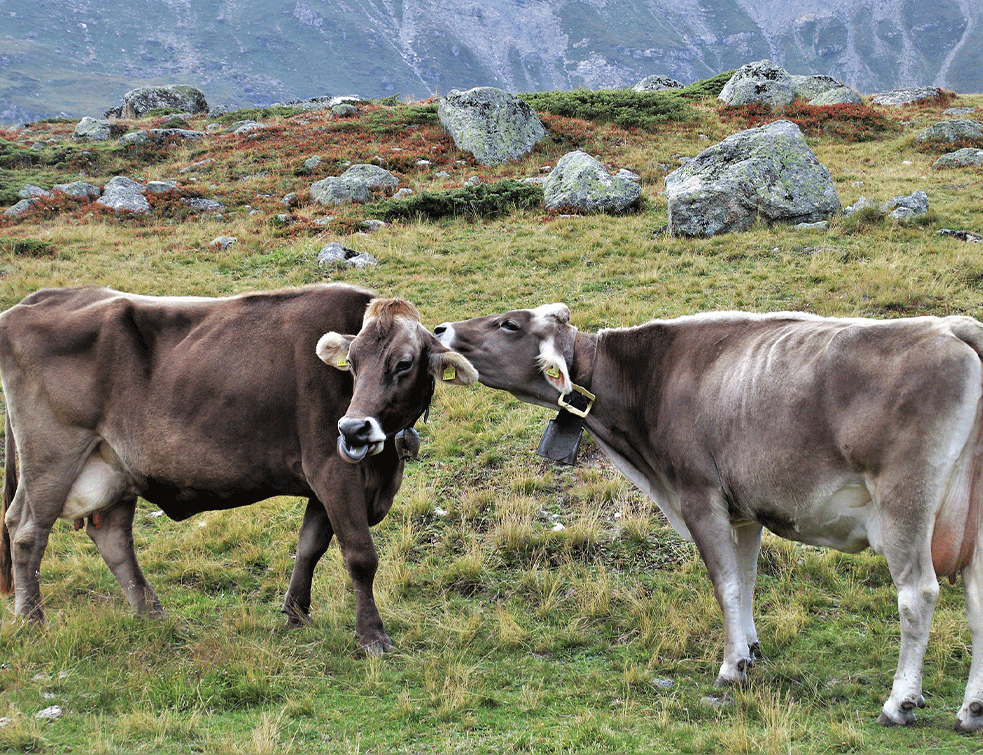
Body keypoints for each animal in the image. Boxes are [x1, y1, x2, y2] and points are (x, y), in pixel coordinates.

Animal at [0, 286, 476, 652]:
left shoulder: (325, 482)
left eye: (404, 363)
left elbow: (310, 545)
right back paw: (32, 621)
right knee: (26, 530)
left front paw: (295, 613)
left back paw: (152, 614)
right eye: (352, 364)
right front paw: (372, 636)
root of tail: (36, 300)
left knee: (112, 536)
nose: (352, 429)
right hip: (52, 454)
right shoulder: (332, 469)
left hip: (114, 466)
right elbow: (360, 555)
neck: (383, 468)